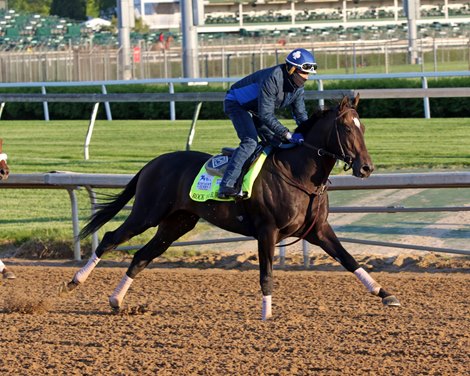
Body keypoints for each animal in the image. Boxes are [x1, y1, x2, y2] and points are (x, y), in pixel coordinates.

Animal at [59, 95, 400, 318]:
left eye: (363, 128)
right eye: (346, 129)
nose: (366, 168)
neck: (298, 173)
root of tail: (152, 164)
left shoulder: (318, 230)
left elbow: (349, 259)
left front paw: (385, 294)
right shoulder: (267, 231)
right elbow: (266, 273)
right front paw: (267, 314)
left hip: (176, 223)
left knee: (142, 256)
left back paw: (116, 301)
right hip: (147, 213)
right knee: (110, 238)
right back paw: (74, 282)